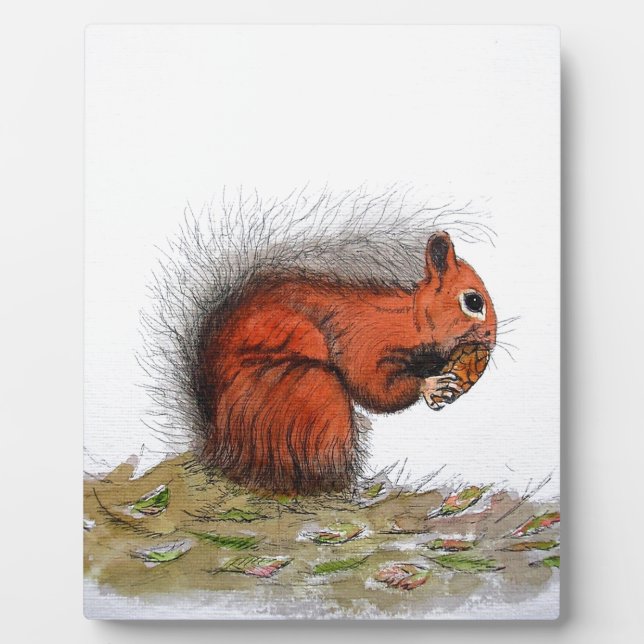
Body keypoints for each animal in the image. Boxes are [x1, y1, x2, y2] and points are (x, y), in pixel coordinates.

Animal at [140, 188, 497, 496]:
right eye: (473, 301)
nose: (492, 340)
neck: (409, 320)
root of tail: (222, 451)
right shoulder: (363, 342)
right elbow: (375, 389)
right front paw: (431, 384)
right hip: (314, 393)